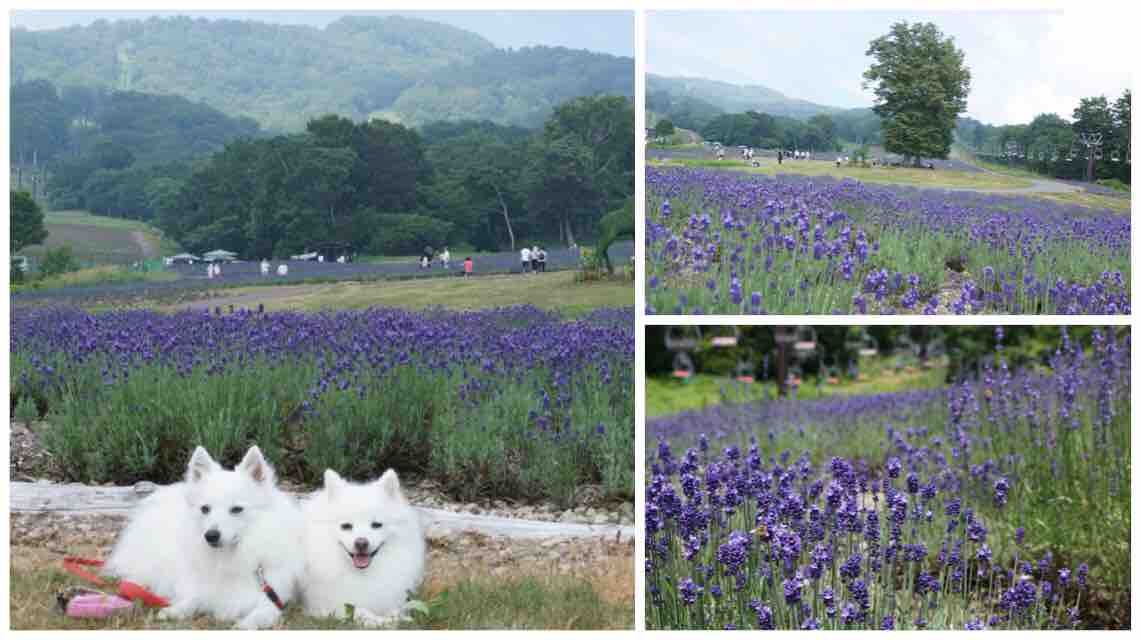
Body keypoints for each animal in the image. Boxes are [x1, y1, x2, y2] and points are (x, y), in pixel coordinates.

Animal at [103, 447, 305, 625]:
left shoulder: (272, 599)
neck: (228, 557)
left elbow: (259, 615)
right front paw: (175, 610)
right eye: (205, 509)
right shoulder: (201, 586)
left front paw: (245, 625)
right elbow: (194, 598)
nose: (211, 535)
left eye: (237, 509)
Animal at [301, 467, 426, 625]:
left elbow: (396, 610)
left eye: (376, 525)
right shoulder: (326, 605)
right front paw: (378, 621)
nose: (361, 542)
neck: (362, 573)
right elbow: (358, 611)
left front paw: (397, 617)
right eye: (346, 526)